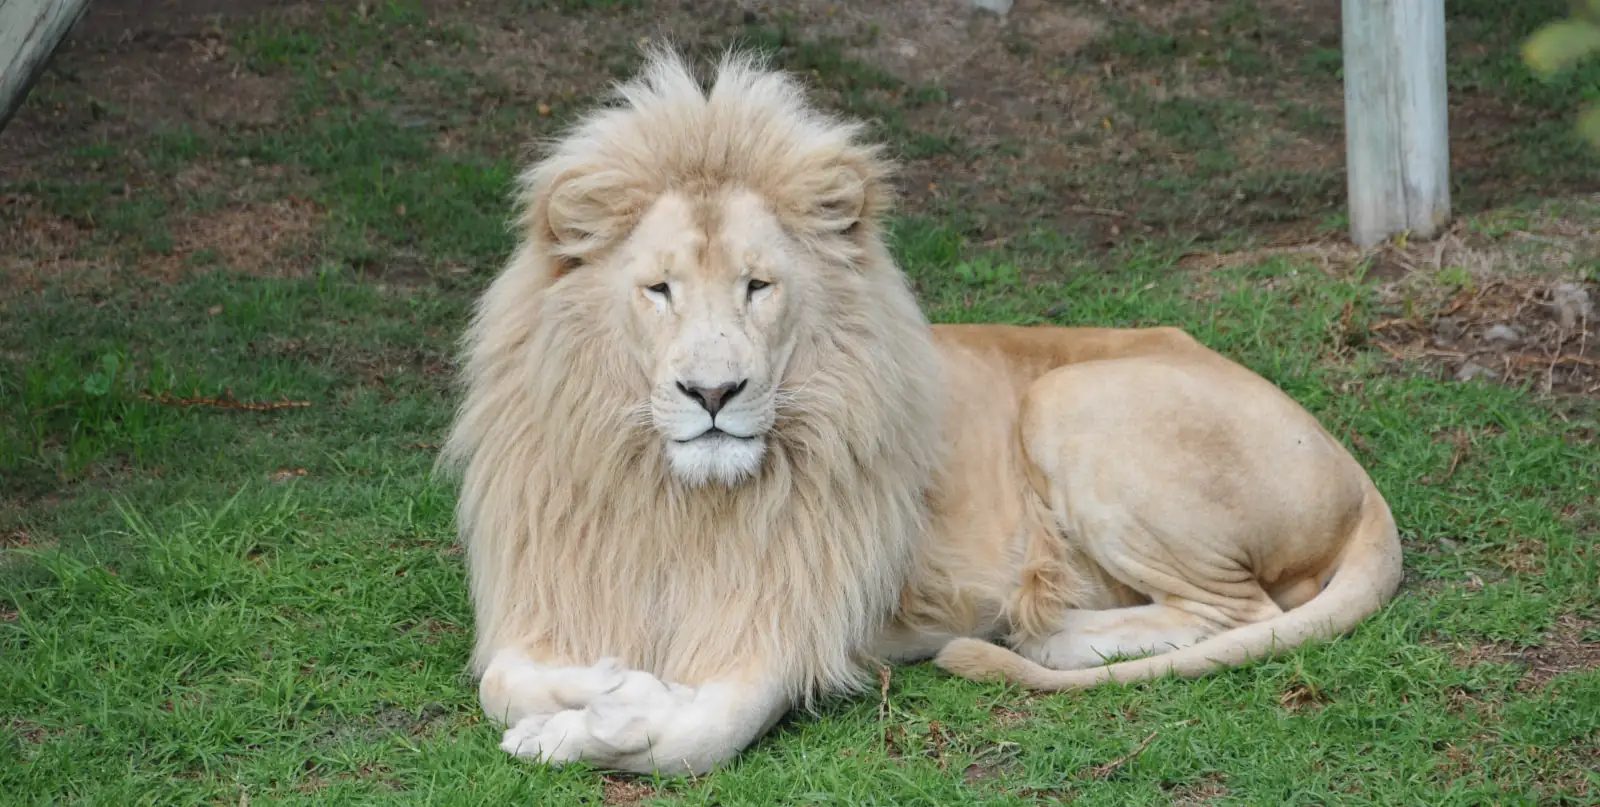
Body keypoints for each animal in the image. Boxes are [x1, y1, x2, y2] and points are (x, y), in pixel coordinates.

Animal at [442, 51, 1403, 775]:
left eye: (758, 287)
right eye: (660, 290)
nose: (714, 395)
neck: (675, 496)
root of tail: (1363, 482)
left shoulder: (802, 618)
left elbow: (699, 732)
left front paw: (606, 713)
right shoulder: (548, 592)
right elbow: (502, 679)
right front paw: (597, 689)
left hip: (1071, 400)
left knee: (1240, 613)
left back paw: (1040, 635)